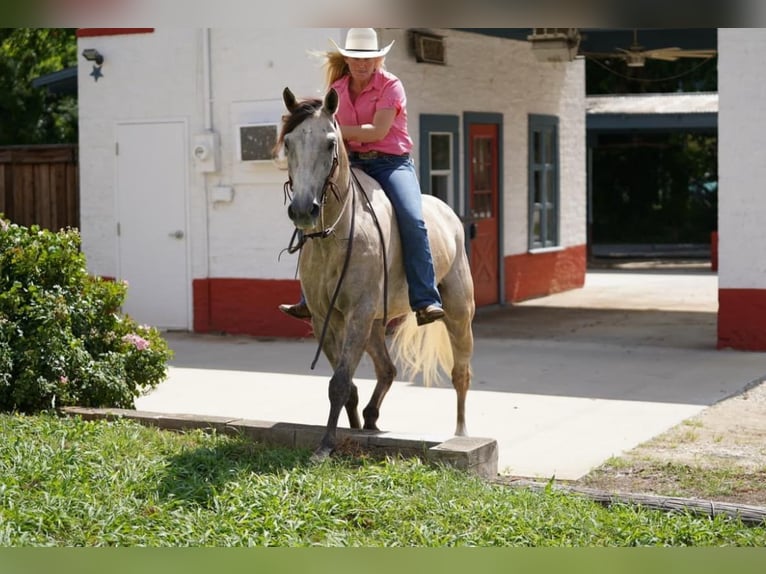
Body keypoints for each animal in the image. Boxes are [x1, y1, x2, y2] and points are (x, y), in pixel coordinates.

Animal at [280, 86, 476, 464]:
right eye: (288, 142)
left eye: (330, 143)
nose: (303, 209)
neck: (336, 235)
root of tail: (449, 214)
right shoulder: (325, 318)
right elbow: (348, 386)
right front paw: (351, 430)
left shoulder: (357, 313)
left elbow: (340, 382)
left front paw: (325, 446)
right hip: (374, 325)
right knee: (387, 370)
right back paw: (370, 420)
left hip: (459, 314)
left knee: (461, 374)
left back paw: (460, 434)